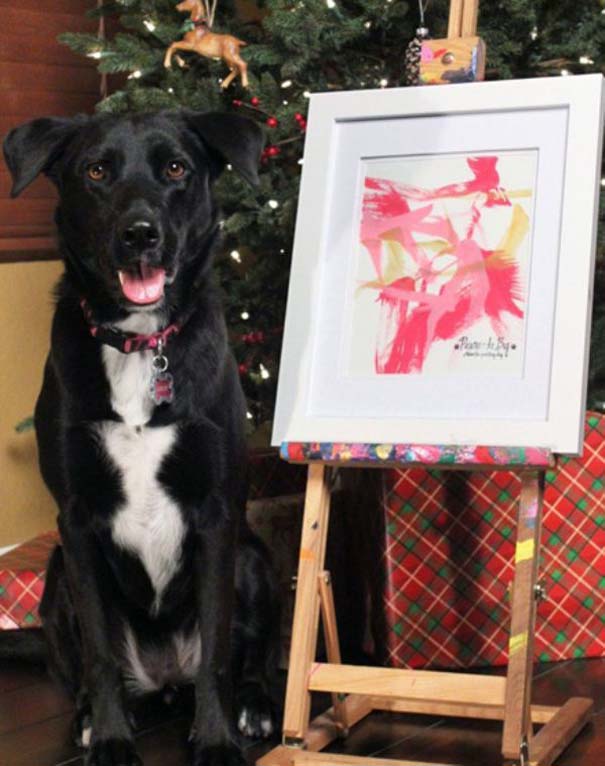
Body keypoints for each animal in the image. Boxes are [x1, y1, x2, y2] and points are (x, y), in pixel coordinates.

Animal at [2, 110, 278, 766]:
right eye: (97, 171)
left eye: (175, 168)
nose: (140, 235)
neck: (138, 343)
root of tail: (165, 679)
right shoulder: (75, 522)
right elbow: (100, 656)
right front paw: (108, 739)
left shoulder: (217, 514)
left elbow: (217, 655)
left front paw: (216, 741)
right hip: (56, 573)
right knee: (81, 666)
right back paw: (87, 716)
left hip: (253, 556)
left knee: (245, 656)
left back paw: (253, 707)